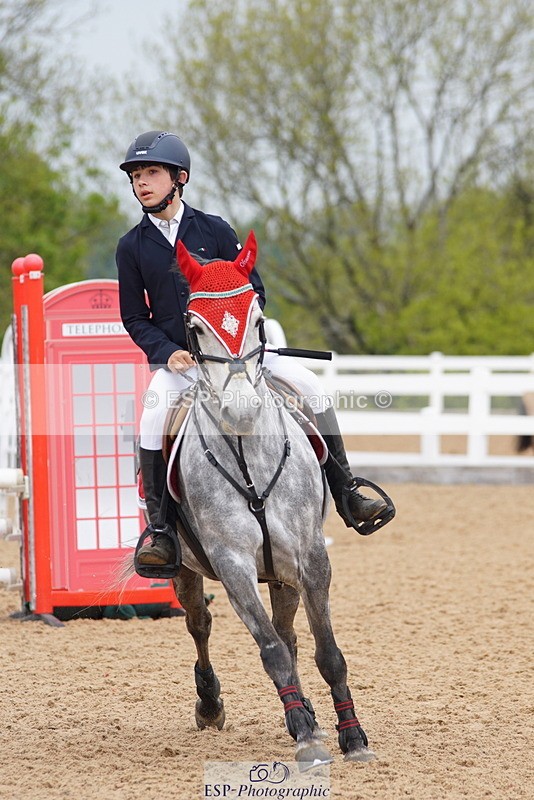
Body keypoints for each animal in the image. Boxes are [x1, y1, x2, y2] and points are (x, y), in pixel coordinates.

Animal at [139, 231, 376, 769]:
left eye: (258, 319)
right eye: (193, 327)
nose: (241, 409)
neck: (249, 453)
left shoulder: (311, 557)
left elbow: (327, 652)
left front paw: (352, 736)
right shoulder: (233, 565)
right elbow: (269, 650)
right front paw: (307, 737)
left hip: (283, 571)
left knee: (289, 633)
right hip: (187, 569)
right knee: (200, 624)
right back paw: (212, 705)